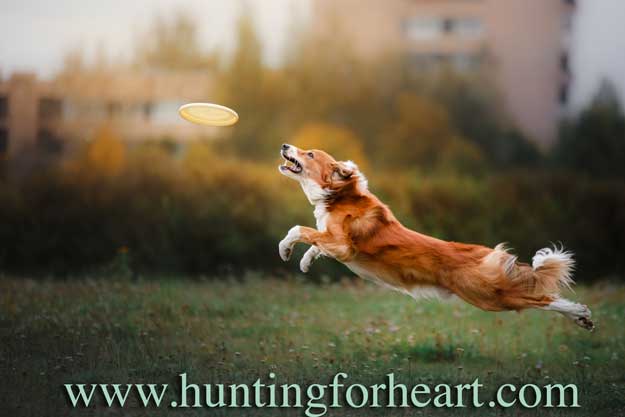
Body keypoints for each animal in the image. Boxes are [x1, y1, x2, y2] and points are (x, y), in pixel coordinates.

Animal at [278, 143, 596, 328]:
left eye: (309, 154)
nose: (284, 145)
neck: (338, 194)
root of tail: (487, 253)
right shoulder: (331, 240)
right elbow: (315, 241)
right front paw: (304, 261)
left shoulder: (344, 246)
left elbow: (300, 230)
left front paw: (285, 249)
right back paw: (580, 317)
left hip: (487, 295)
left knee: (539, 298)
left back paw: (579, 313)